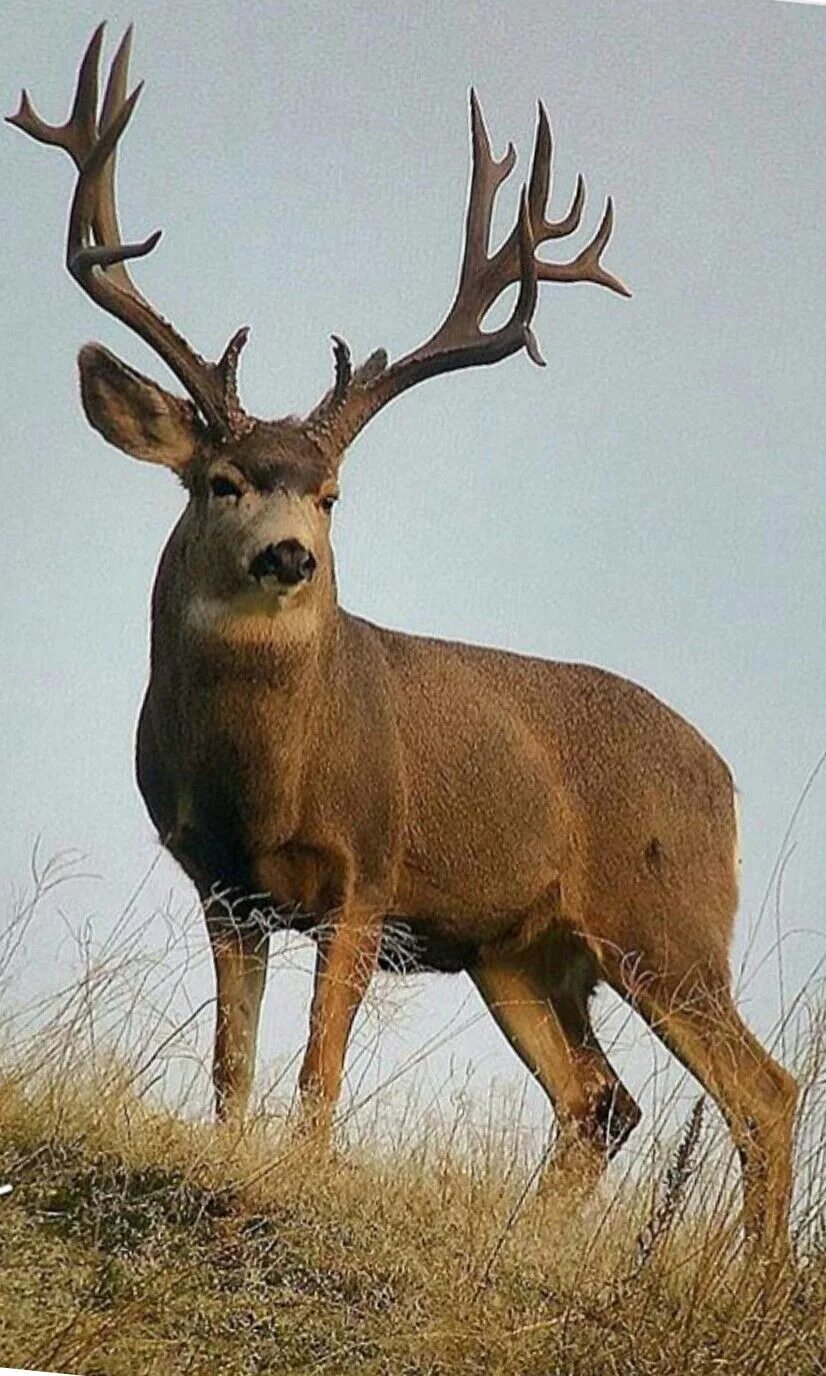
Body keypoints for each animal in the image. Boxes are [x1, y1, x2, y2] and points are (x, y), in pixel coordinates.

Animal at [9, 24, 798, 1249]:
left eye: (332, 494)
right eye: (223, 482)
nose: (291, 557)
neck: (265, 776)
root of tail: (724, 776)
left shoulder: (369, 873)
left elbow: (317, 1073)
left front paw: (295, 1180)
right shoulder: (222, 885)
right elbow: (231, 1070)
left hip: (667, 919)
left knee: (759, 1089)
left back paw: (756, 1276)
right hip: (519, 950)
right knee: (600, 1100)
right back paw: (533, 1244)